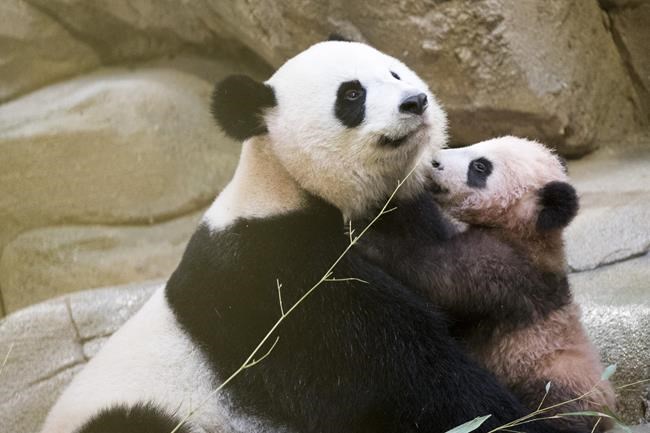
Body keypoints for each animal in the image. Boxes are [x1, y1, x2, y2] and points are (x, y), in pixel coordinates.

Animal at [41, 41, 565, 433]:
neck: (287, 183)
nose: (415, 102)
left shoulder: (403, 217)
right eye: (351, 95)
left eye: (394, 72)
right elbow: (391, 376)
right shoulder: (268, 273)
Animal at [359, 137, 614, 433]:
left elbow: (438, 277)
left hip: (557, 379)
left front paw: (365, 241)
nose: (433, 161)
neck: (531, 233)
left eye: (480, 167)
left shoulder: (506, 270)